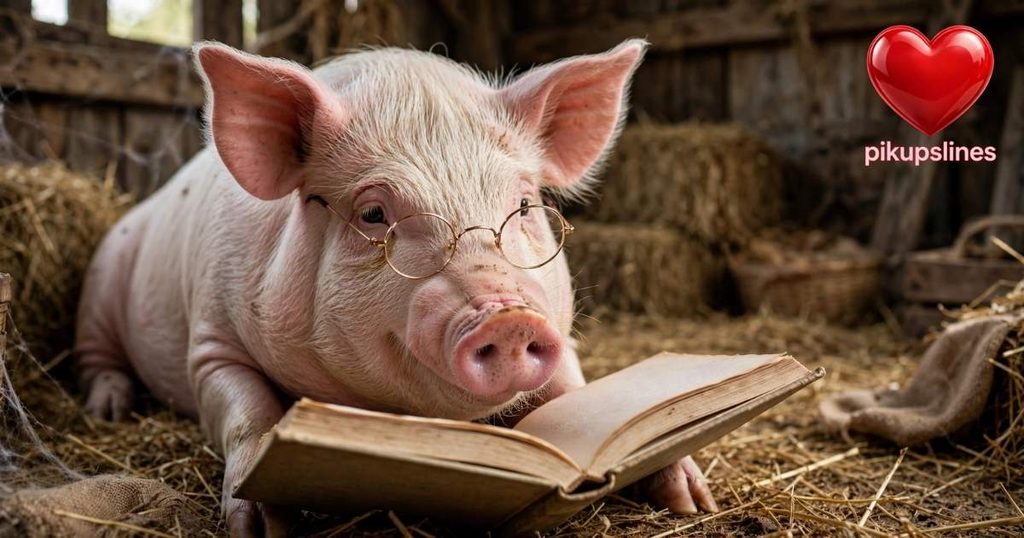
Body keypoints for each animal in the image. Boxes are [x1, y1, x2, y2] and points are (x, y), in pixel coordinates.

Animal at [74, 39, 718, 536]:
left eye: (523, 206)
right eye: (374, 214)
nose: (508, 317)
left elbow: (583, 394)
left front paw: (691, 497)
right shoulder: (210, 341)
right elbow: (248, 413)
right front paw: (262, 525)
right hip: (101, 280)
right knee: (96, 357)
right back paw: (109, 408)